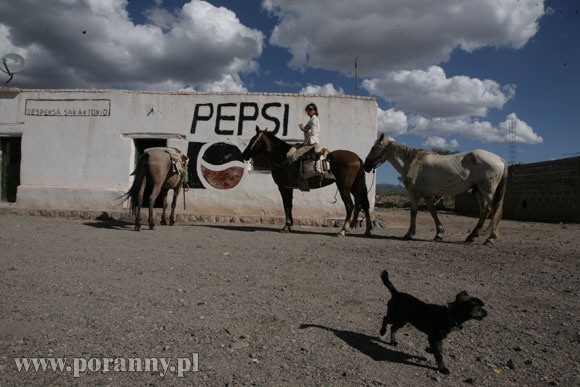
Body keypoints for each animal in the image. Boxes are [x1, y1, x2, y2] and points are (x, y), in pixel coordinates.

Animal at [240, 127, 372, 236]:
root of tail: (357, 158)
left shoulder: (283, 187)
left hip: (344, 187)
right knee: (364, 204)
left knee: (350, 206)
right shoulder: (289, 188)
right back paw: (368, 230)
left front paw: (286, 226)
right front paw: (289, 226)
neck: (281, 157)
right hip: (354, 187)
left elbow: (286, 205)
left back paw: (343, 230)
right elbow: (290, 205)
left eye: (253, 140)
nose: (244, 154)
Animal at [368, 135, 508, 247]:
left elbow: (413, 213)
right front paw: (439, 234)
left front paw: (409, 234)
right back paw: (471, 237)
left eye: (374, 148)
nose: (366, 166)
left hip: (488, 191)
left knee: (494, 211)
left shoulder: (414, 193)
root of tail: (500, 159)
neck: (414, 162)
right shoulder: (428, 195)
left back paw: (490, 239)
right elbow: (433, 212)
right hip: (479, 191)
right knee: (485, 212)